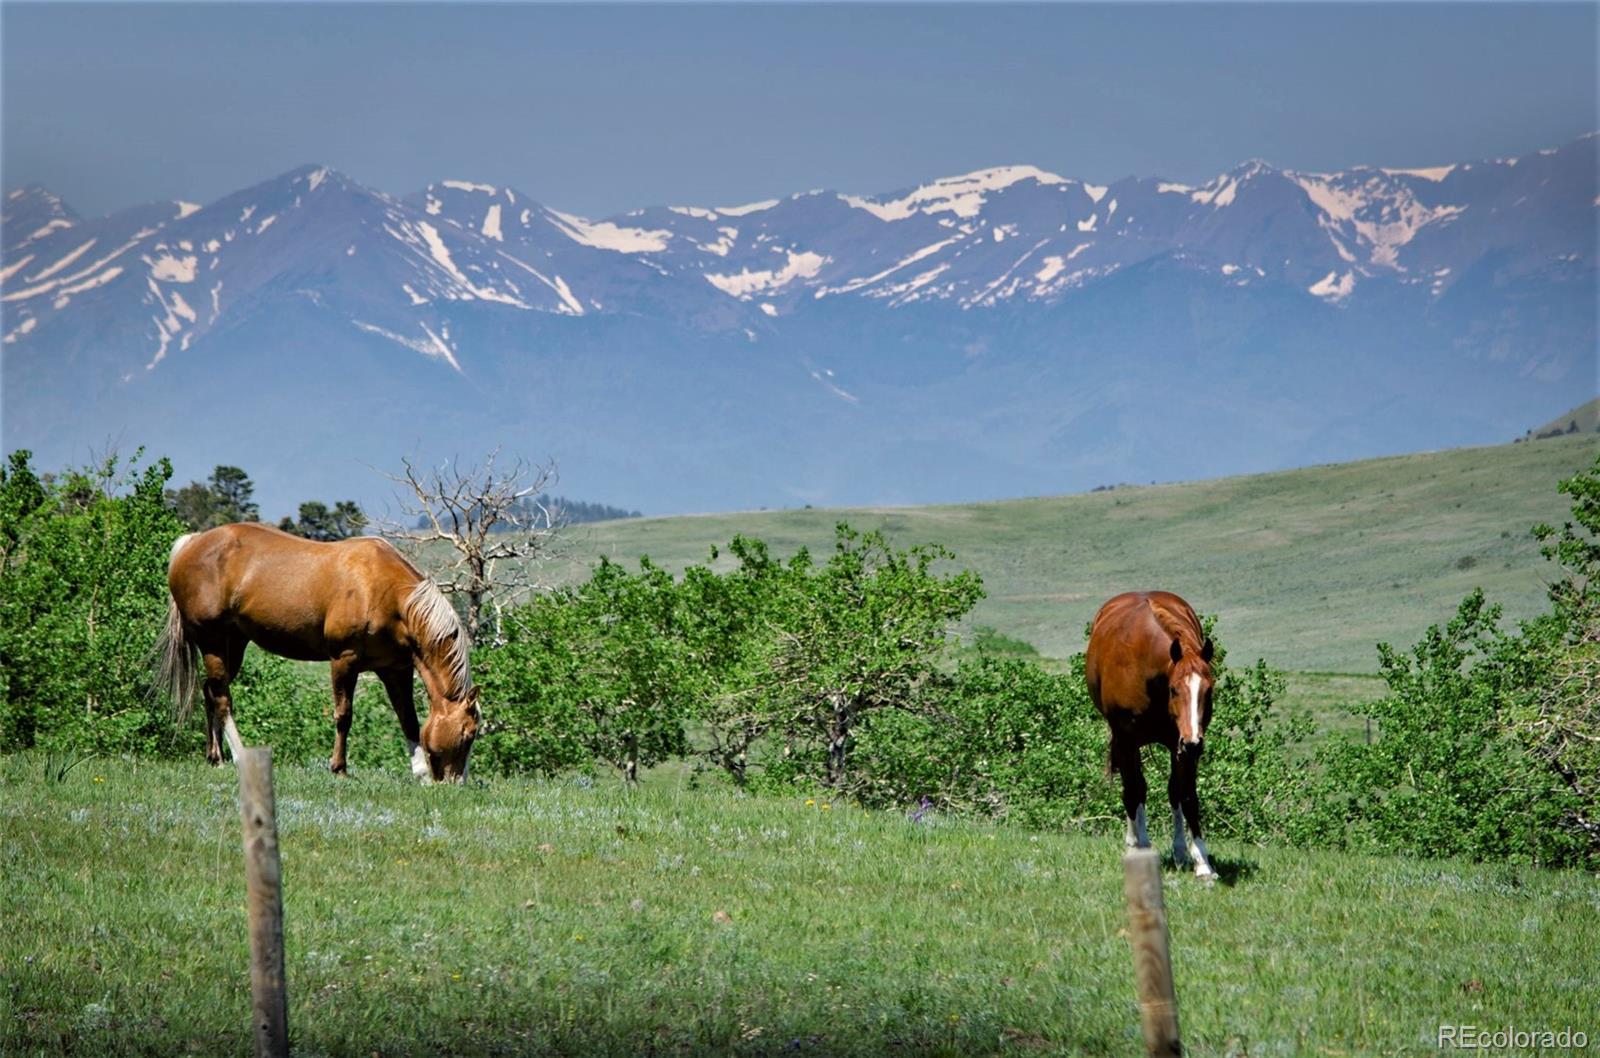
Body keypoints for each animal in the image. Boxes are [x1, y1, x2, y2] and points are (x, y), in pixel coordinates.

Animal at [155, 521, 480, 781]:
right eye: (469, 733)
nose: (457, 782)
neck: (387, 593)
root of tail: (193, 543)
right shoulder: (344, 660)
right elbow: (344, 715)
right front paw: (339, 768)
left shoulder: (395, 669)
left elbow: (408, 719)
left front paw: (420, 773)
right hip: (212, 642)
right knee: (222, 699)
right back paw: (238, 756)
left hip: (232, 645)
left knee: (211, 692)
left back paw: (216, 757)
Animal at [1081, 589, 1216, 877]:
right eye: (1174, 689)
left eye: (1208, 689)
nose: (1194, 743)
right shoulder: (1126, 738)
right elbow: (1133, 790)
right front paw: (1137, 848)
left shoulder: (1180, 744)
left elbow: (1186, 795)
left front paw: (1201, 862)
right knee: (1135, 787)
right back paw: (1137, 841)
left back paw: (1178, 851)